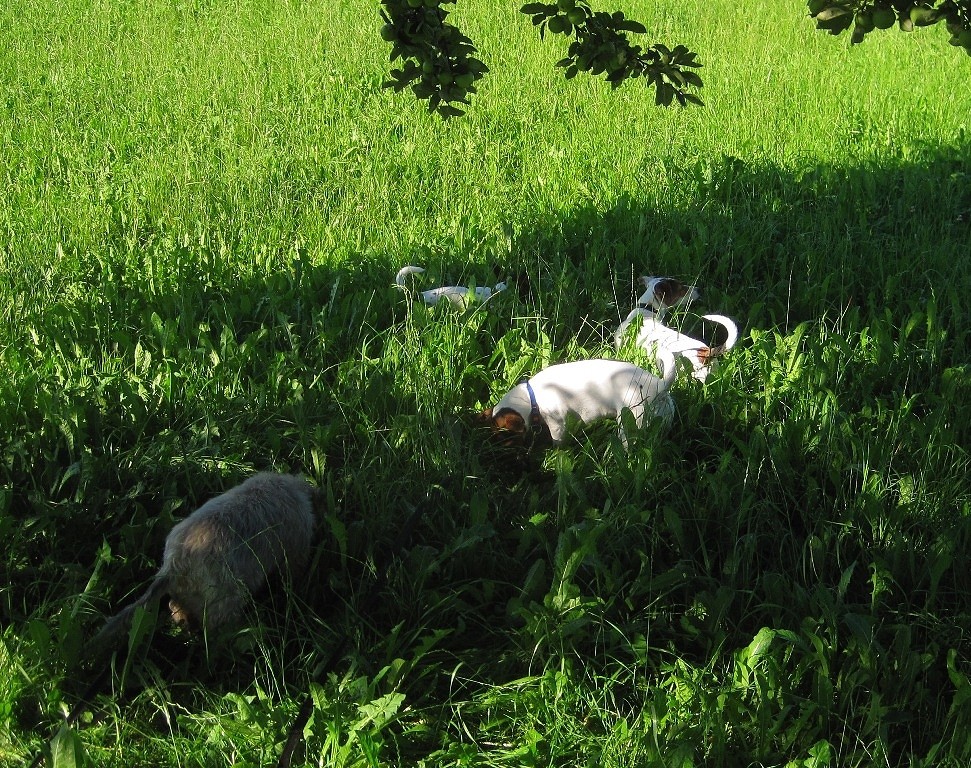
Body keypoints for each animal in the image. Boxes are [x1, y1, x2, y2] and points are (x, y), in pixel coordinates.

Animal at [478, 348, 677, 449]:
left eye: (504, 434)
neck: (530, 397)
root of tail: (660, 384)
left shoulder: (557, 424)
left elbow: (557, 441)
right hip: (663, 418)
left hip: (630, 422)